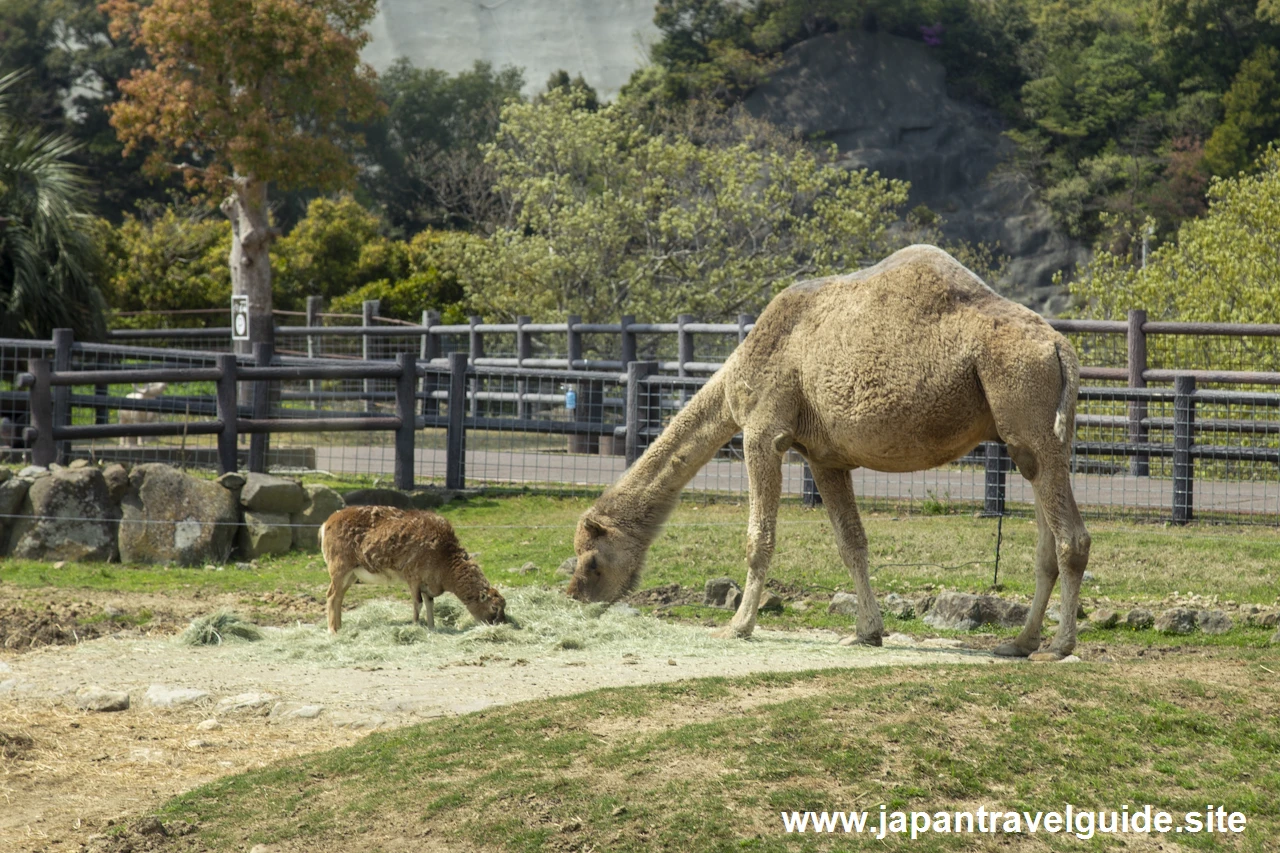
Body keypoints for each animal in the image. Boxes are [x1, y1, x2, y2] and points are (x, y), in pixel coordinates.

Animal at [317, 504, 506, 630]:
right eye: (494, 608)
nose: (502, 624)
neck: (444, 561)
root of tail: (326, 524)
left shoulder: (428, 583)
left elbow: (430, 604)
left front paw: (432, 628)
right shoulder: (413, 578)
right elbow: (418, 603)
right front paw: (416, 626)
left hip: (351, 574)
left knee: (339, 597)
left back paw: (340, 628)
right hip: (339, 568)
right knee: (331, 596)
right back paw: (333, 631)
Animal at [568, 244, 1090, 655]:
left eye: (591, 559)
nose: (575, 597)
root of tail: (1062, 347)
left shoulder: (763, 429)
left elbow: (759, 538)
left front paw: (737, 626)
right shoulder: (824, 456)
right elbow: (851, 542)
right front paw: (866, 633)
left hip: (1025, 404)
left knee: (1072, 537)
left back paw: (1059, 646)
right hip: (1033, 436)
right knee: (1045, 532)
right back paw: (1019, 642)